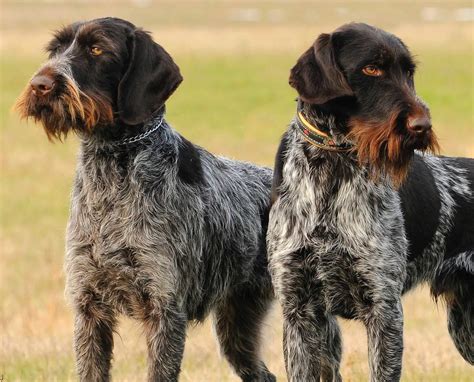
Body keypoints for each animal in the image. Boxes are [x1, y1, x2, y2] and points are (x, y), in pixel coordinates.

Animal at [16, 17, 276, 382]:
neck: (111, 166)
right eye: (56, 49)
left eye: (97, 49)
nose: (40, 84)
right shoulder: (88, 306)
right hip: (238, 327)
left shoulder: (163, 308)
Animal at [268, 22, 472, 380]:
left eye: (408, 72)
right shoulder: (298, 310)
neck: (331, 170)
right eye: (371, 69)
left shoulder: (383, 308)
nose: (422, 126)